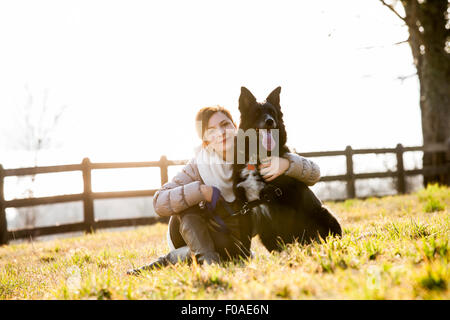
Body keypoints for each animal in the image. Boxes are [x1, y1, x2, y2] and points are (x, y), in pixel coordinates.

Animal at [232, 86, 342, 251]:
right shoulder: (245, 208)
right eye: (256, 113)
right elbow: (243, 242)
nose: (269, 121)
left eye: (272, 112)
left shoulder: (281, 204)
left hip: (324, 213)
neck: (258, 156)